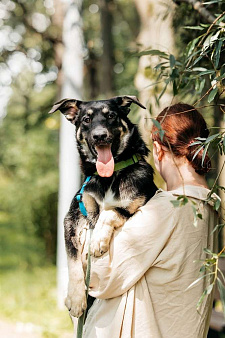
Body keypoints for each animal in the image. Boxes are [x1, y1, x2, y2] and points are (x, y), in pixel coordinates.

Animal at [48, 95, 157, 316]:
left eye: (111, 115)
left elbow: (109, 212)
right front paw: (75, 298)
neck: (109, 177)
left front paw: (98, 239)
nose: (100, 136)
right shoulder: (73, 216)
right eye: (86, 119)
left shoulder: (135, 205)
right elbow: (72, 261)